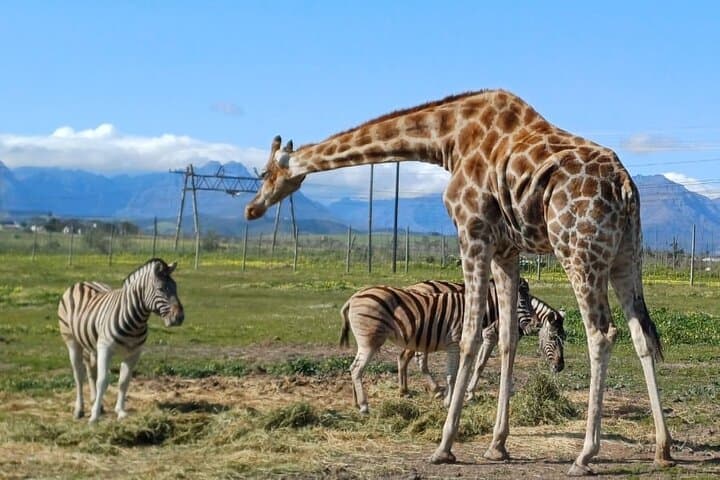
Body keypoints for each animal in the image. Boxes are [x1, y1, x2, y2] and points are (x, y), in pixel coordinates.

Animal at [244, 89, 674, 476]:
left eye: (264, 173)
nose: (251, 208)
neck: (447, 139)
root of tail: (625, 185)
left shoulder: (472, 232)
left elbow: (468, 337)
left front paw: (444, 445)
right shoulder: (506, 249)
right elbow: (507, 339)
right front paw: (497, 445)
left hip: (578, 251)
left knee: (601, 333)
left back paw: (585, 455)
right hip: (626, 255)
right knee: (641, 335)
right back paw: (662, 448)